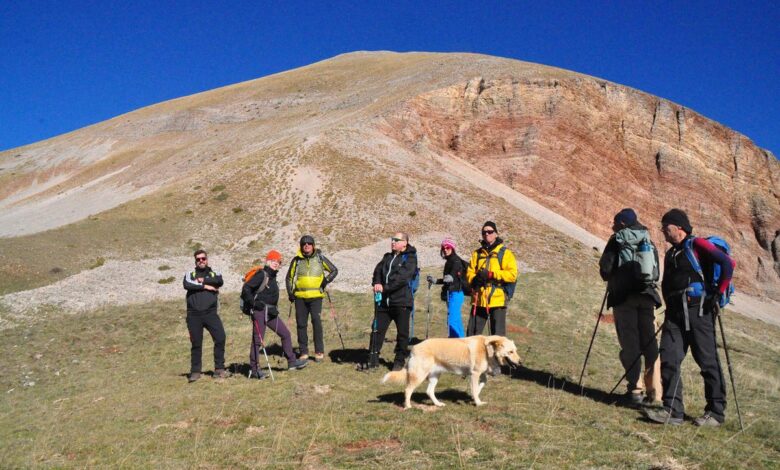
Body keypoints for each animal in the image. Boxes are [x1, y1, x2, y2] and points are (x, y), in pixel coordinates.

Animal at [382, 334, 520, 408]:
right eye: (510, 352)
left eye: (515, 350)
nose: (520, 362)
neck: (488, 349)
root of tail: (413, 348)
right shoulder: (474, 374)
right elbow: (476, 388)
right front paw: (477, 402)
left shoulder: (480, 374)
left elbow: (481, 384)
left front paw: (474, 397)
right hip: (419, 375)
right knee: (408, 390)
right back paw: (408, 406)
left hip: (435, 376)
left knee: (429, 391)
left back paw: (438, 404)